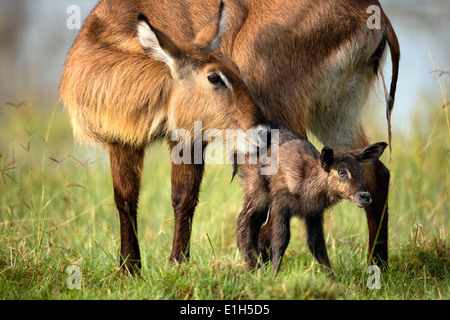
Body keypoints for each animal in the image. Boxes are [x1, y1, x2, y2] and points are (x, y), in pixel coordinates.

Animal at [237, 122, 388, 278]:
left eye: (361, 171)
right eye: (341, 171)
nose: (365, 196)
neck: (306, 186)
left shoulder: (314, 213)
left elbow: (317, 244)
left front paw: (333, 279)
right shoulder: (280, 205)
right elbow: (280, 240)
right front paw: (274, 276)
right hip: (257, 190)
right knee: (244, 221)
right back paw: (253, 269)